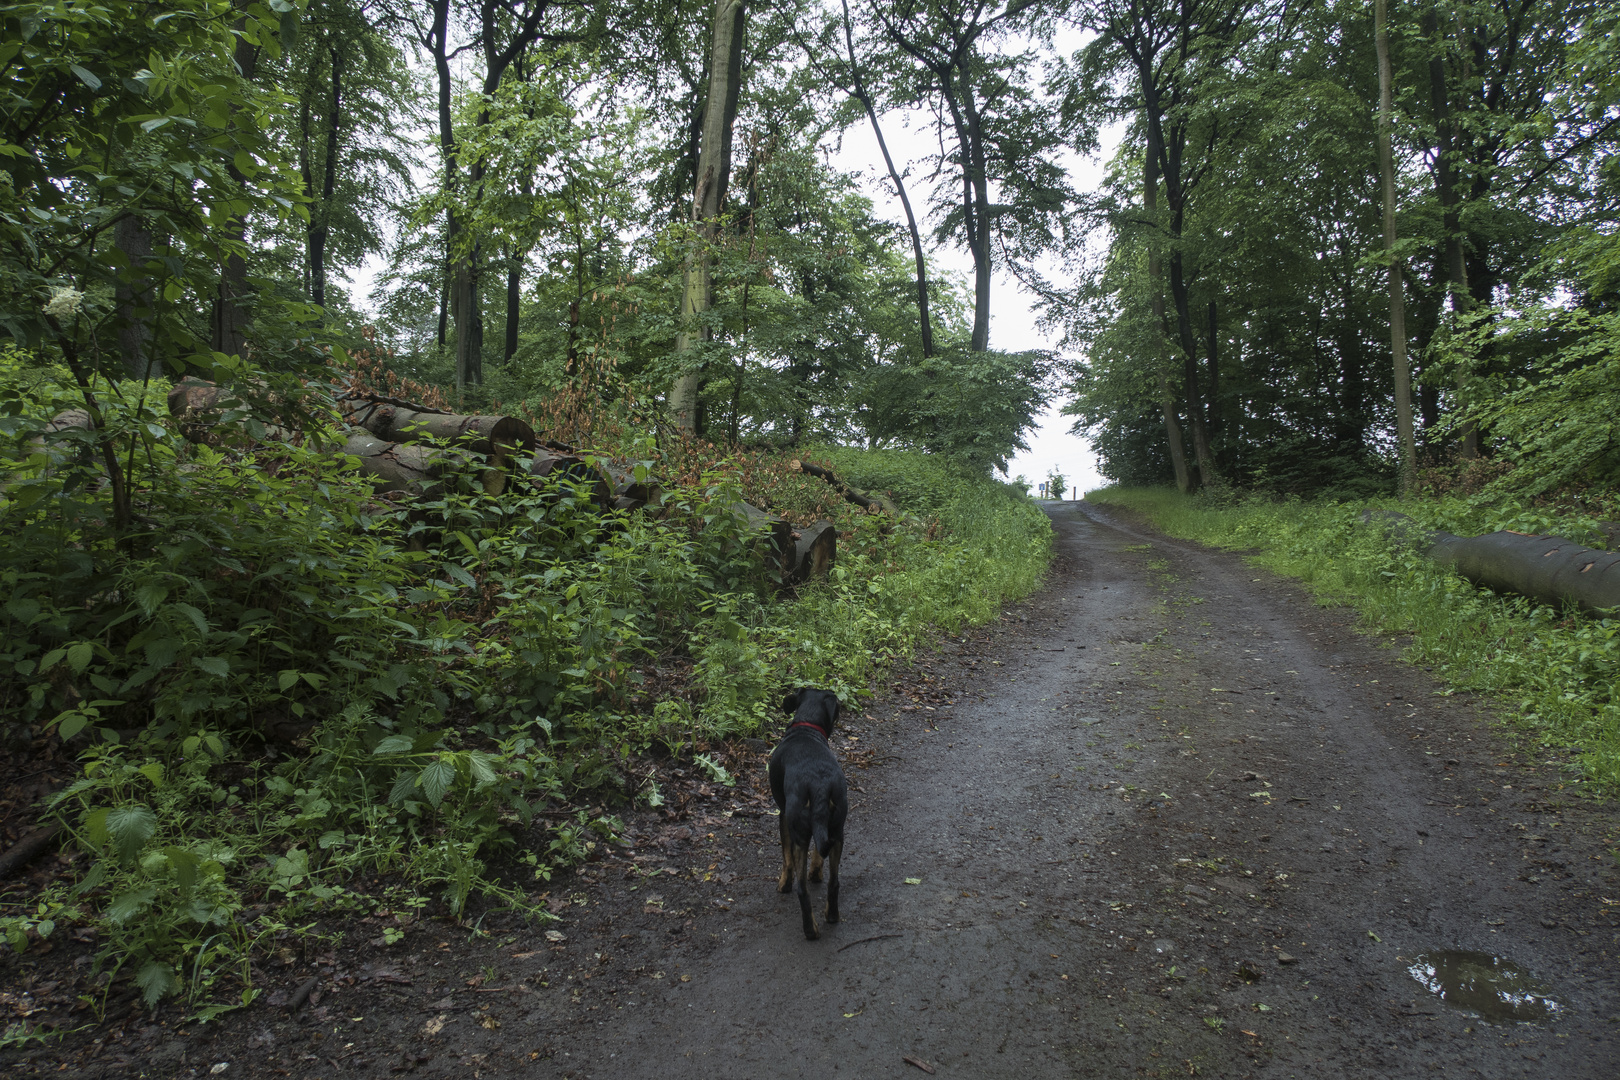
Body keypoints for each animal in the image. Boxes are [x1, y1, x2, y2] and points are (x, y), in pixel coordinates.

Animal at [767, 693, 848, 939]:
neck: (806, 727)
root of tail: (818, 784)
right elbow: (818, 854)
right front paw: (816, 872)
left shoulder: (783, 816)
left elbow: (786, 861)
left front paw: (783, 885)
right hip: (837, 830)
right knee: (834, 882)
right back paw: (831, 916)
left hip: (798, 834)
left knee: (802, 890)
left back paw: (810, 930)